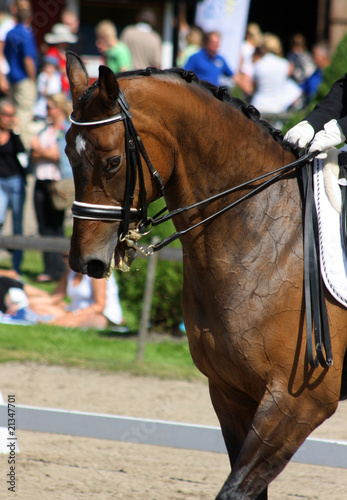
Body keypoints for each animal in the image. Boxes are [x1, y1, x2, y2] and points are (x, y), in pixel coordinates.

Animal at [66, 52, 347, 498]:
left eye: (112, 162)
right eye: (66, 153)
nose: (84, 262)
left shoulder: (300, 401)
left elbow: (234, 489)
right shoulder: (230, 392)